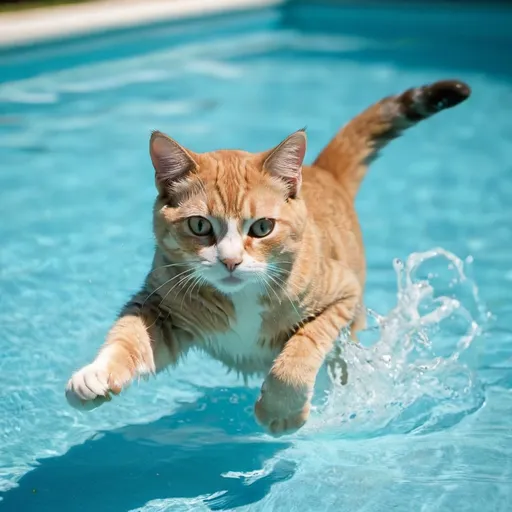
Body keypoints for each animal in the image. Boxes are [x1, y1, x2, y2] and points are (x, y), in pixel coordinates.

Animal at [67, 80, 472, 436]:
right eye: (199, 225)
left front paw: (280, 412)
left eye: (262, 227)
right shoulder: (161, 305)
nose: (230, 261)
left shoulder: (342, 295)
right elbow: (129, 336)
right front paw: (97, 373)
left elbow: (299, 352)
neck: (241, 297)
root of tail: (321, 171)